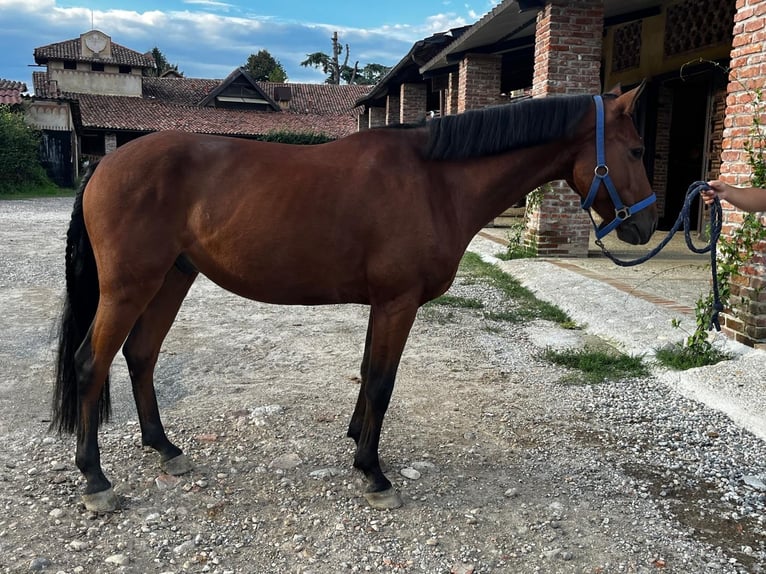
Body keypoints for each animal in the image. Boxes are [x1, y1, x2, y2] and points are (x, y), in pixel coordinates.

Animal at [52, 82, 660, 512]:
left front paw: (355, 444)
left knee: (140, 355)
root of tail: (104, 163)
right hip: (131, 286)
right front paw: (373, 472)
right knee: (91, 363)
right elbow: (384, 382)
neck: (434, 182)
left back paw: (166, 449)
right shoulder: (398, 302)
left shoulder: (382, 304)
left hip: (172, 279)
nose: (647, 224)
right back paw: (96, 479)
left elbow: (368, 373)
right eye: (634, 149)